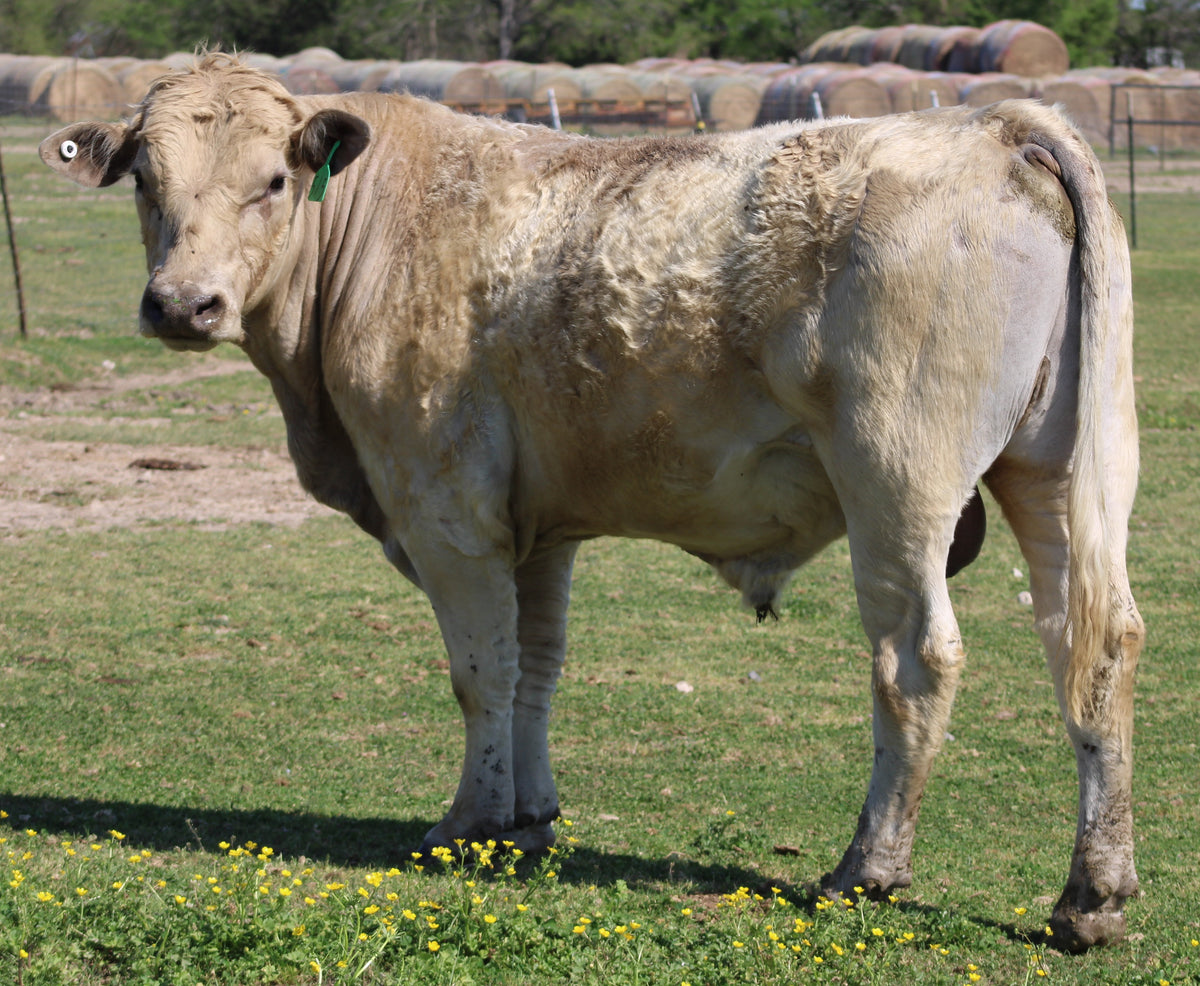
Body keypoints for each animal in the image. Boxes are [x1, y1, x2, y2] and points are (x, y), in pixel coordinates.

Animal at [40, 52, 1143, 951]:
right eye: (145, 180)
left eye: (272, 181)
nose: (182, 305)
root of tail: (991, 125)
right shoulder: (538, 528)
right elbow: (535, 666)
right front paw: (529, 817)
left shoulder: (446, 508)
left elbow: (480, 671)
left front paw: (470, 820)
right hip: (1061, 476)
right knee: (1093, 642)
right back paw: (1091, 893)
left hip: (897, 481)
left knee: (916, 658)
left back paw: (868, 865)